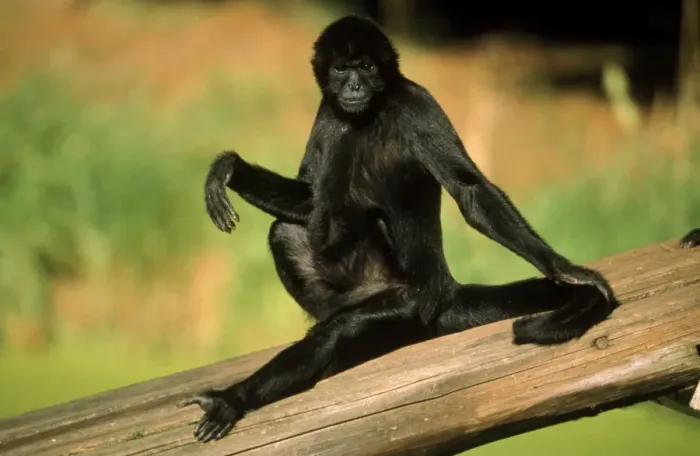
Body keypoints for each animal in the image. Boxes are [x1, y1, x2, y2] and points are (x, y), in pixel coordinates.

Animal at [178, 15, 618, 442]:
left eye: (367, 68)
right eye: (341, 70)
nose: (354, 85)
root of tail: (445, 290)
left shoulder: (416, 101)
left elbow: (470, 191)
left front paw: (562, 268)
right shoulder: (327, 110)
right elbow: (308, 197)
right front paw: (230, 169)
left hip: (405, 301)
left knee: (338, 328)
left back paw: (233, 399)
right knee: (287, 230)